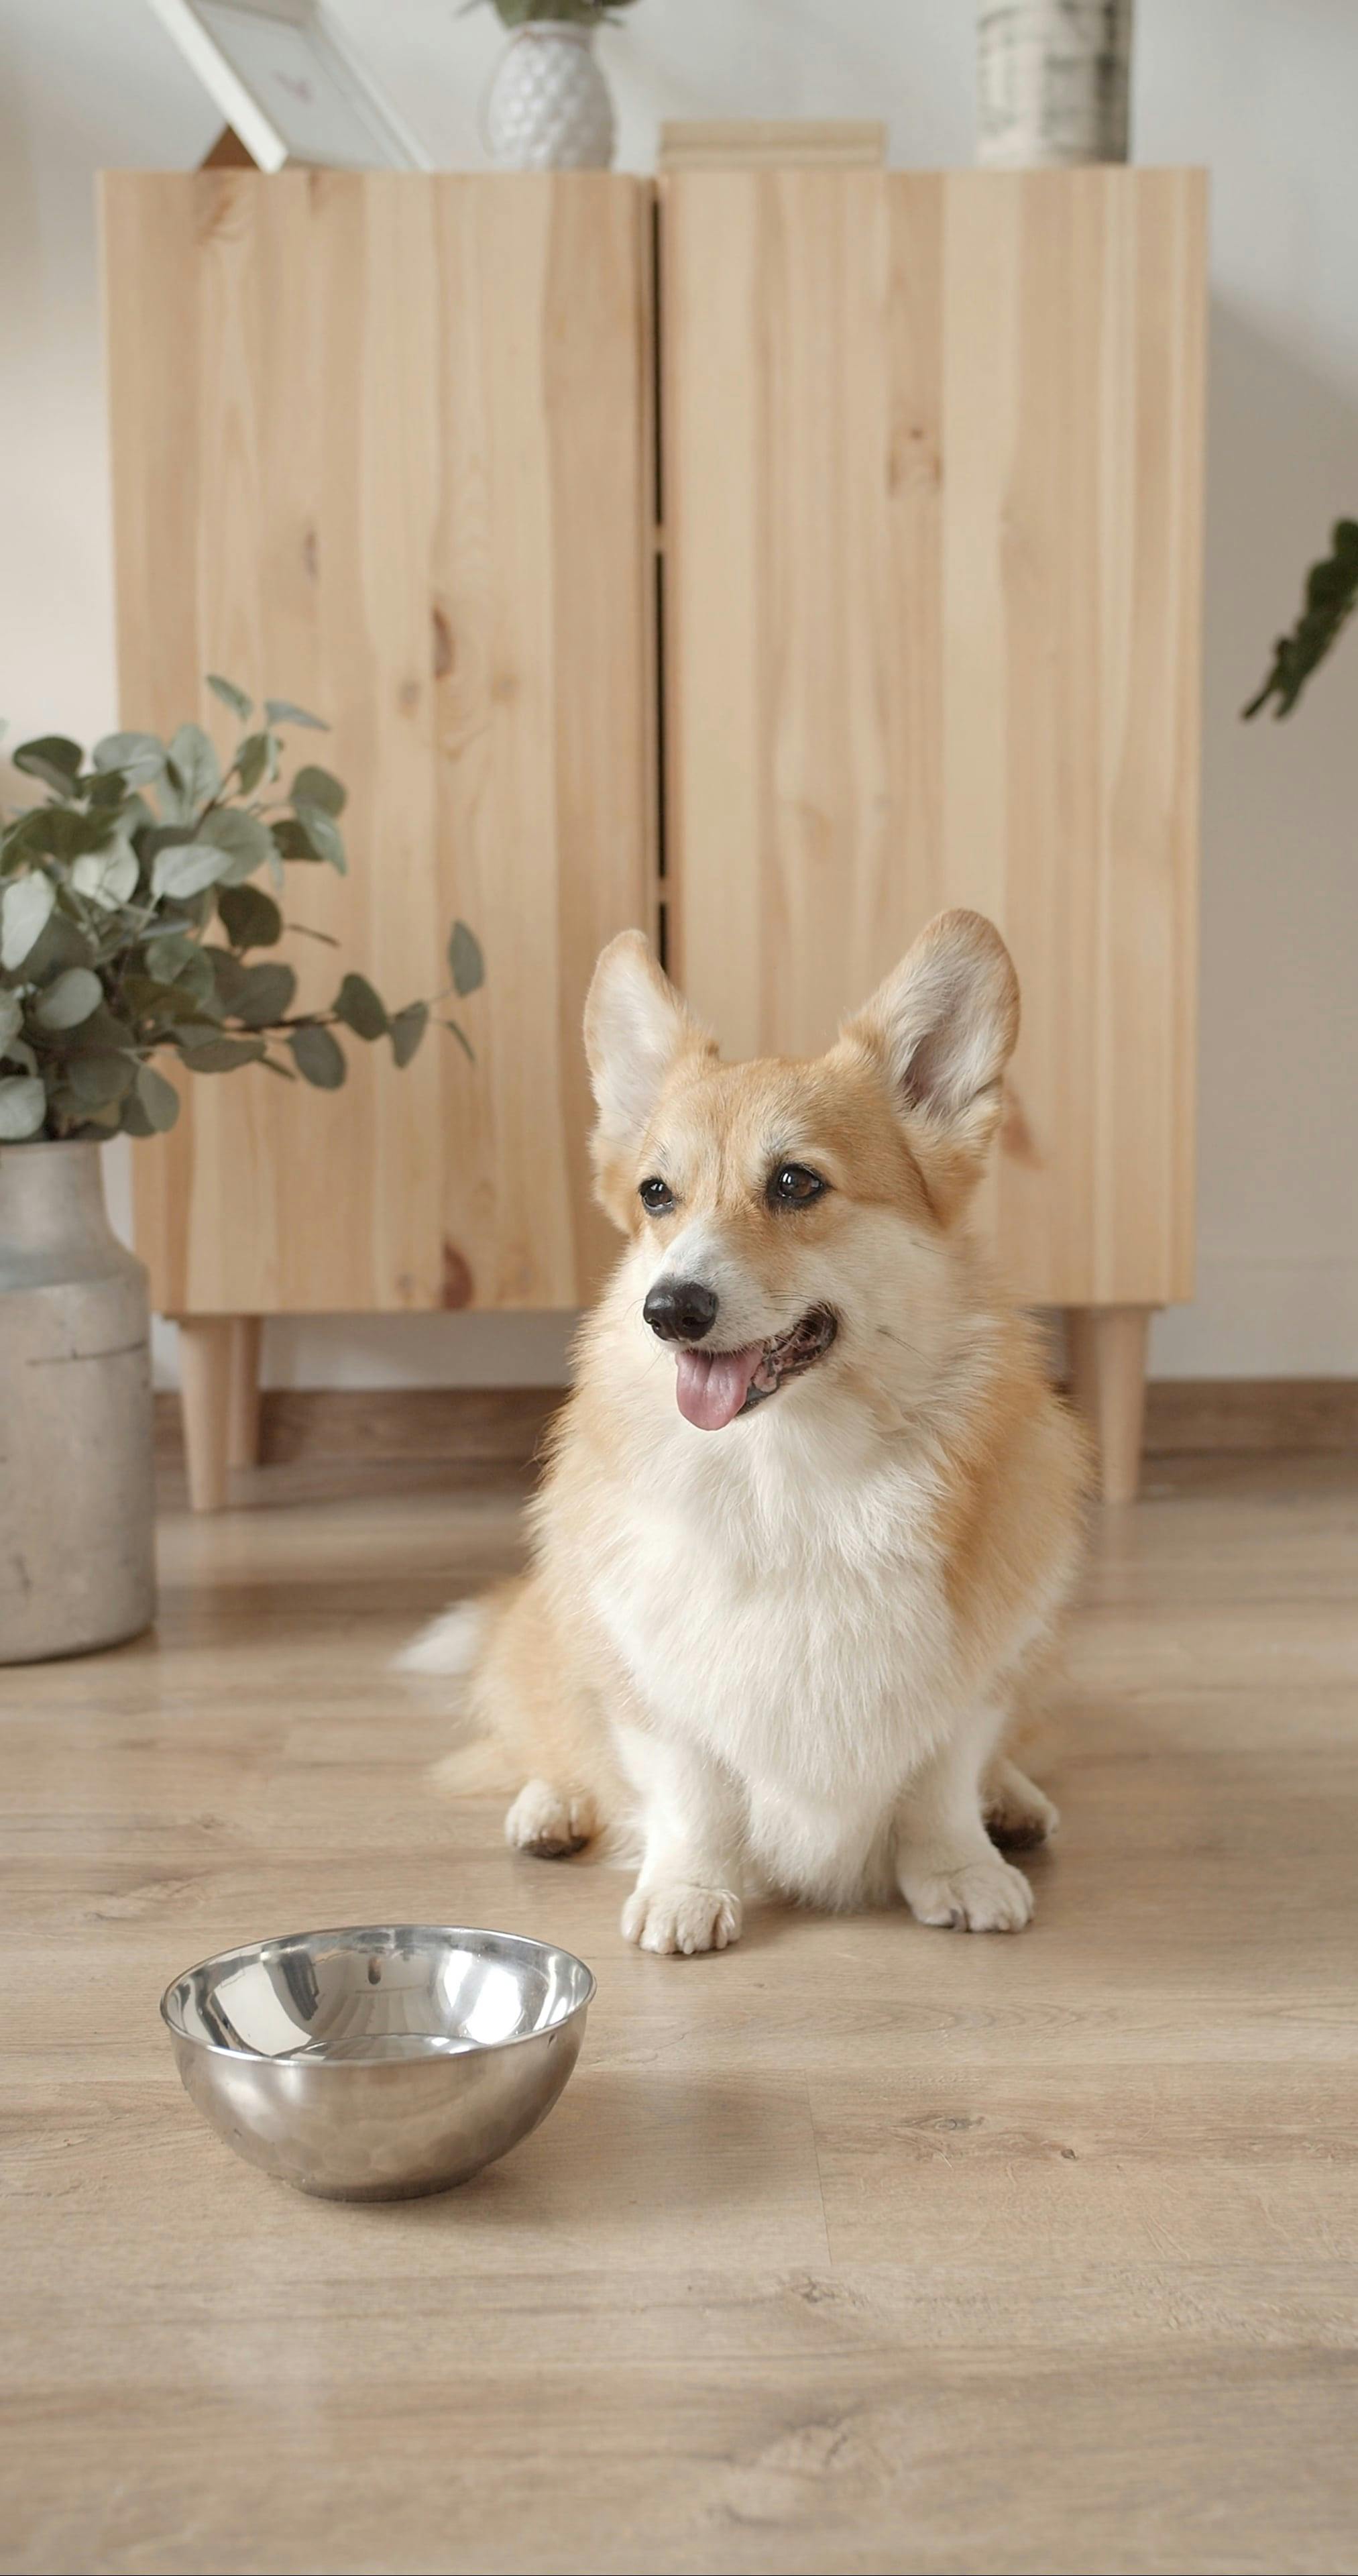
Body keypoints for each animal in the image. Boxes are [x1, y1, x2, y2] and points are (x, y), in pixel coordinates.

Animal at [404, 912, 1082, 1947]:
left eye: (797, 1183)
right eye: (656, 1194)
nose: (668, 1309)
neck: (789, 1475)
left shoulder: (978, 1673)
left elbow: (942, 1777)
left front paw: (961, 1869)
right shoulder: (656, 1683)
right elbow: (694, 1789)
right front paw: (690, 1890)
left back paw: (1014, 1803)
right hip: (554, 1629)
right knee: (542, 1734)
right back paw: (550, 1807)